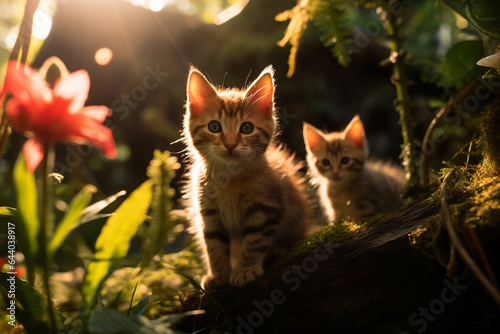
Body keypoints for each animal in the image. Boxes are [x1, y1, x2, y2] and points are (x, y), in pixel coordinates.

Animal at [184, 66, 314, 290]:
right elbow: (213, 244)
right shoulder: (208, 212)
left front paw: (245, 269)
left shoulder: (267, 209)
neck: (229, 179)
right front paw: (219, 273)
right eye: (214, 126)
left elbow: (254, 241)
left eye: (246, 128)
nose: (230, 144)